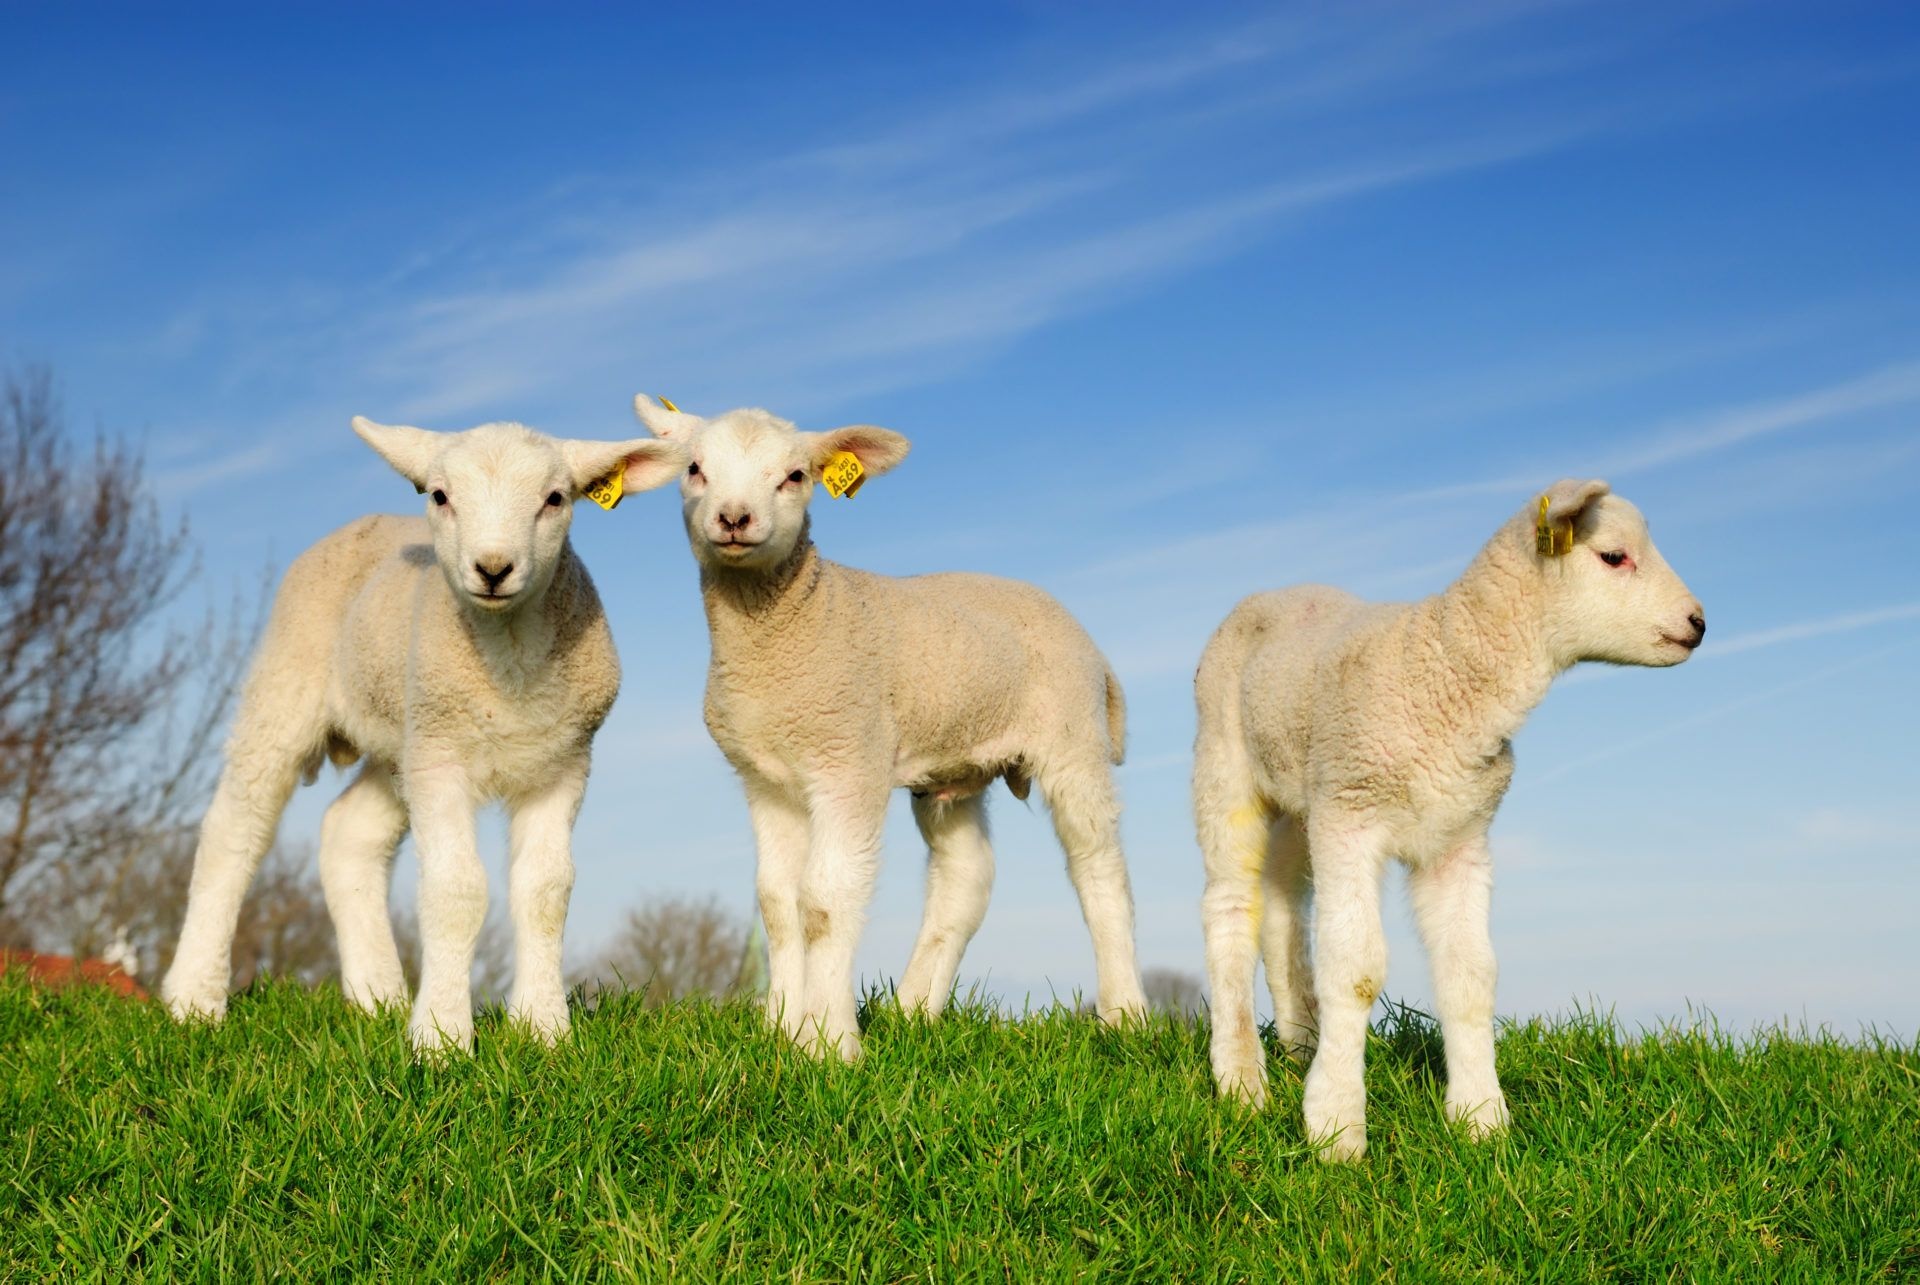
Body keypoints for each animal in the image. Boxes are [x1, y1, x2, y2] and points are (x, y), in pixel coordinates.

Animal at [161, 420, 683, 1052]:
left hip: (400, 743)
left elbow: (545, 891)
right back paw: (194, 997)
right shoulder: (442, 761)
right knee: (234, 832)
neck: (510, 662)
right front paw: (441, 1037)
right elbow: (456, 891)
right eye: (439, 496)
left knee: (349, 833)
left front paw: (543, 1029)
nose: (492, 568)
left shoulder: (562, 762)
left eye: (556, 498)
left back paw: (377, 996)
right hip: (290, 688)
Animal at [633, 395, 1136, 1060]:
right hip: (952, 766)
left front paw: (828, 1043)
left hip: (1072, 739)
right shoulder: (766, 778)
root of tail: (1086, 640)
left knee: (1099, 869)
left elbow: (824, 901)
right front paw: (781, 1030)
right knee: (965, 878)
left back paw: (1126, 1017)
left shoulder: (850, 762)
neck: (792, 630)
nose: (734, 518)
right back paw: (914, 1011)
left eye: (795, 476)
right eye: (694, 468)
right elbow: (777, 902)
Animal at [1190, 480, 1704, 1160]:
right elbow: (1355, 971)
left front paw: (1481, 1118)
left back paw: (1300, 1045)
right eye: (1614, 557)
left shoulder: (1456, 838)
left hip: (1303, 798)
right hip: (1226, 765)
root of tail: (1274, 592)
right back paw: (1242, 1079)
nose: (1699, 624)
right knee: (1228, 908)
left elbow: (1471, 976)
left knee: (1280, 909)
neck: (1445, 666)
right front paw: (1337, 1126)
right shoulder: (1352, 815)